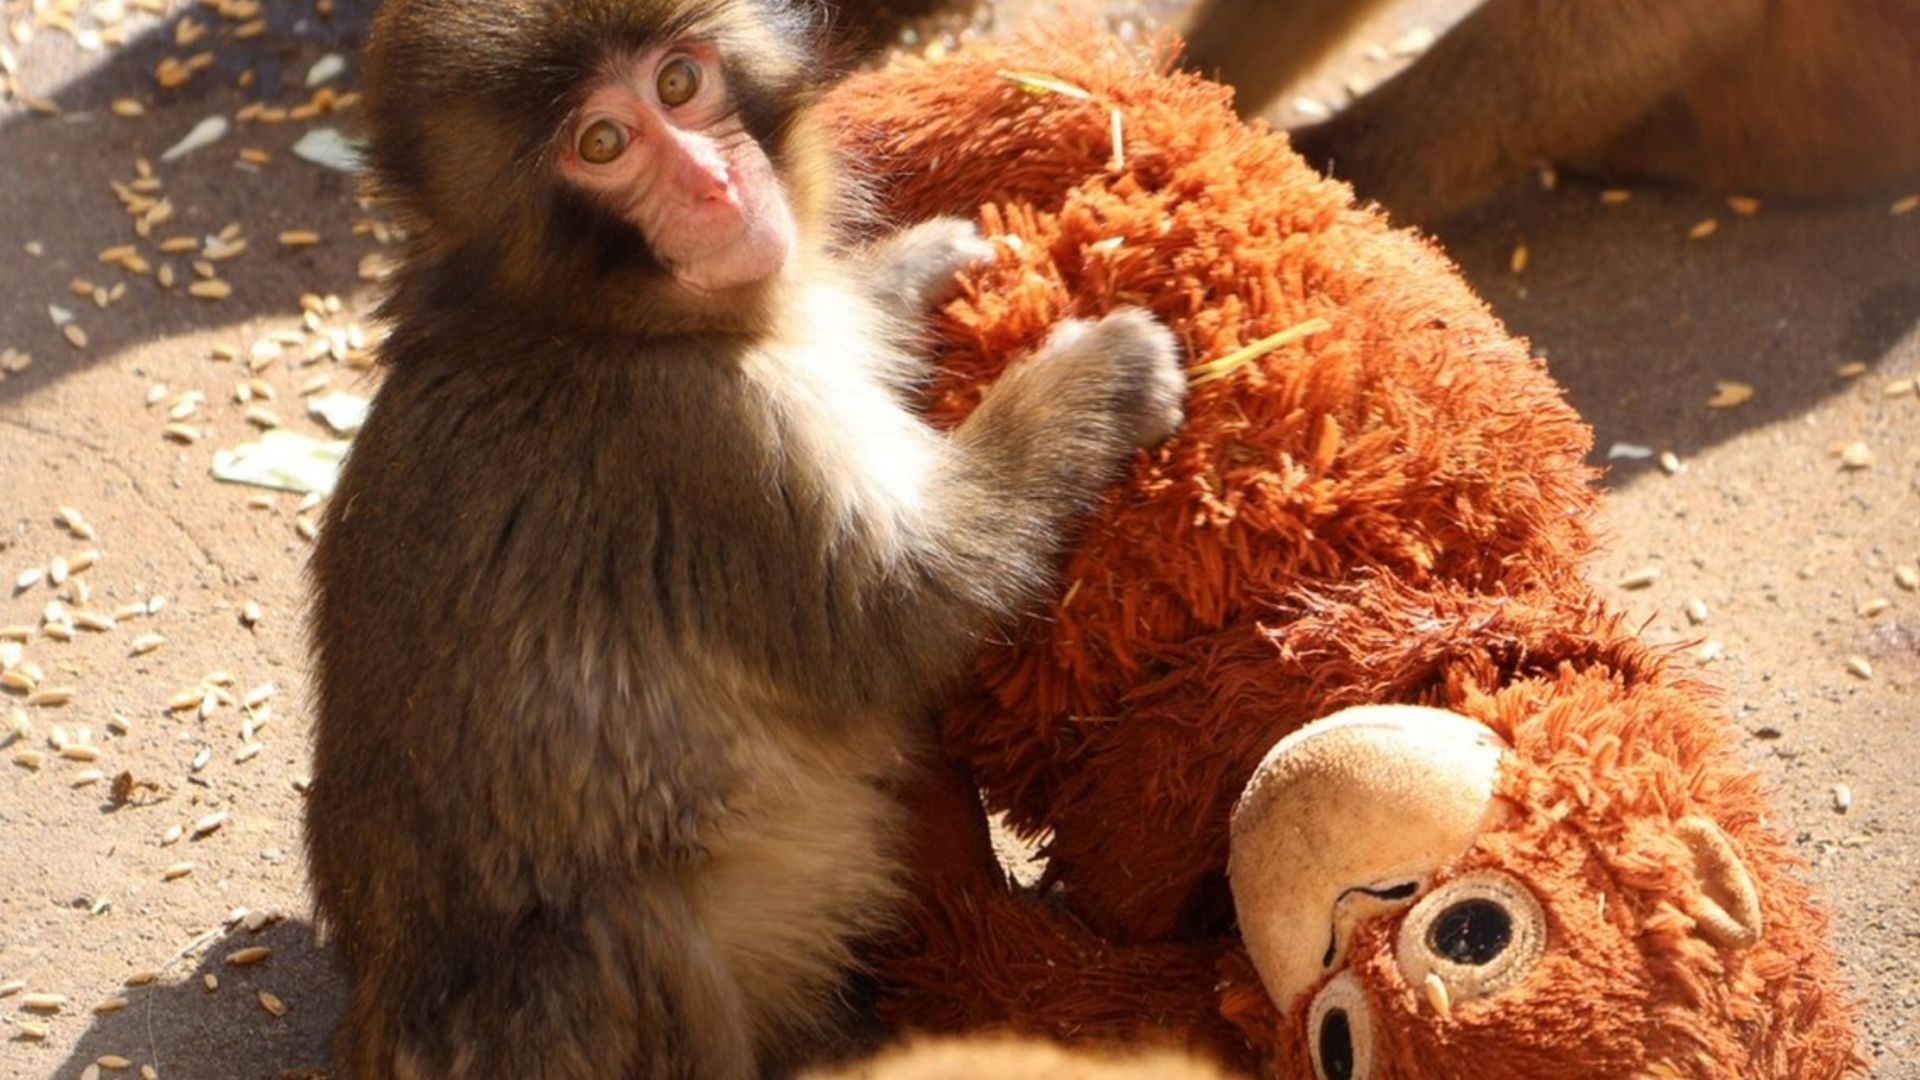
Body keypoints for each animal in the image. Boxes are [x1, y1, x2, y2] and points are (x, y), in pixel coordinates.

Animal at [301, 0, 1187, 1075]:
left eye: (679, 84)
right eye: (603, 144)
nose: (715, 185)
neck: (588, 321)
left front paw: (910, 271)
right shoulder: (703, 439)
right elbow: (898, 613)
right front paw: (1100, 376)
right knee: (622, 933)